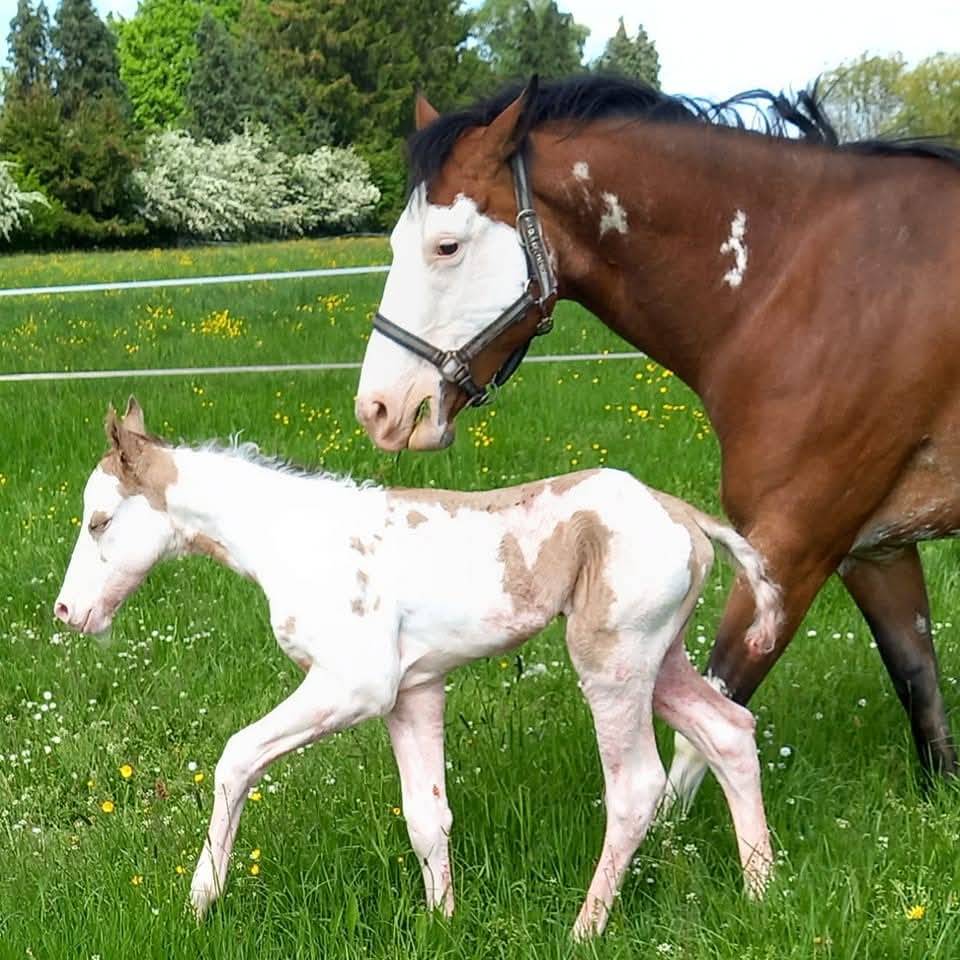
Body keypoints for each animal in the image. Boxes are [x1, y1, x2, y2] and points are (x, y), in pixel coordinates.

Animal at [54, 397, 779, 936]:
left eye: (99, 521)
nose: (67, 611)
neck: (293, 538)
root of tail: (684, 514)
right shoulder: (415, 690)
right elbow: (427, 815)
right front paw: (443, 922)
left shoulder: (357, 685)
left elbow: (236, 756)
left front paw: (201, 901)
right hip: (661, 658)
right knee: (728, 731)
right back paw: (761, 891)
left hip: (613, 659)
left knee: (636, 787)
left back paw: (585, 929)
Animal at [354, 75, 960, 801]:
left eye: (446, 246)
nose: (380, 408)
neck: (813, 282)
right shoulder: (874, 550)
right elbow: (919, 686)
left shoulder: (792, 547)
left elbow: (705, 726)